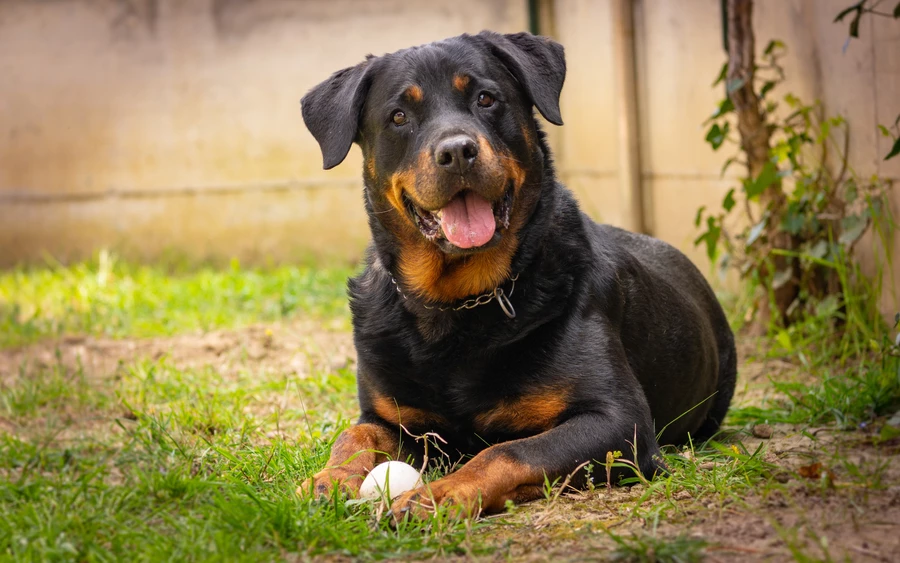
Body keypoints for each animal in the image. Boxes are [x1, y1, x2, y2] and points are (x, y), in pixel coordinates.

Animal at [298, 30, 736, 520]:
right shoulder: (393, 418)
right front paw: (329, 478)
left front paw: (439, 493)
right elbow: (354, 434)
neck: (457, 304)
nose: (457, 151)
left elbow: (507, 451)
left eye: (486, 98)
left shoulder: (619, 422)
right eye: (398, 116)